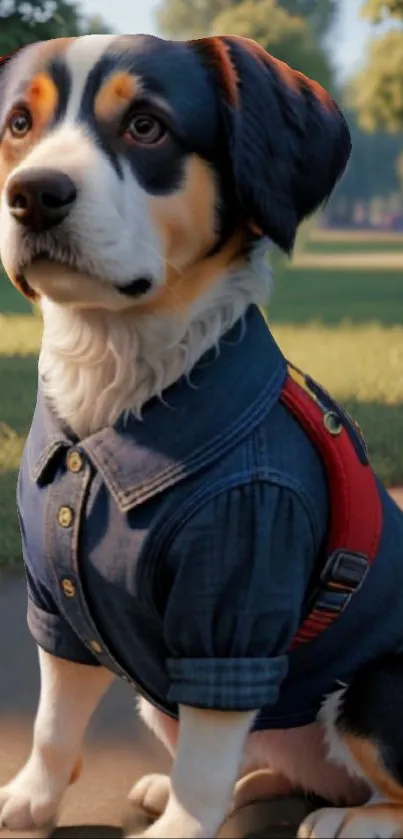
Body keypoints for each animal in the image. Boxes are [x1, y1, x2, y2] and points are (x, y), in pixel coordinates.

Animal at [0, 32, 403, 839]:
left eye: (146, 126)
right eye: (20, 125)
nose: (32, 194)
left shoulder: (233, 610)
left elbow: (207, 759)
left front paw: (181, 829)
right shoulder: (54, 597)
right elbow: (55, 722)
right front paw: (33, 797)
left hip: (375, 684)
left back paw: (355, 818)